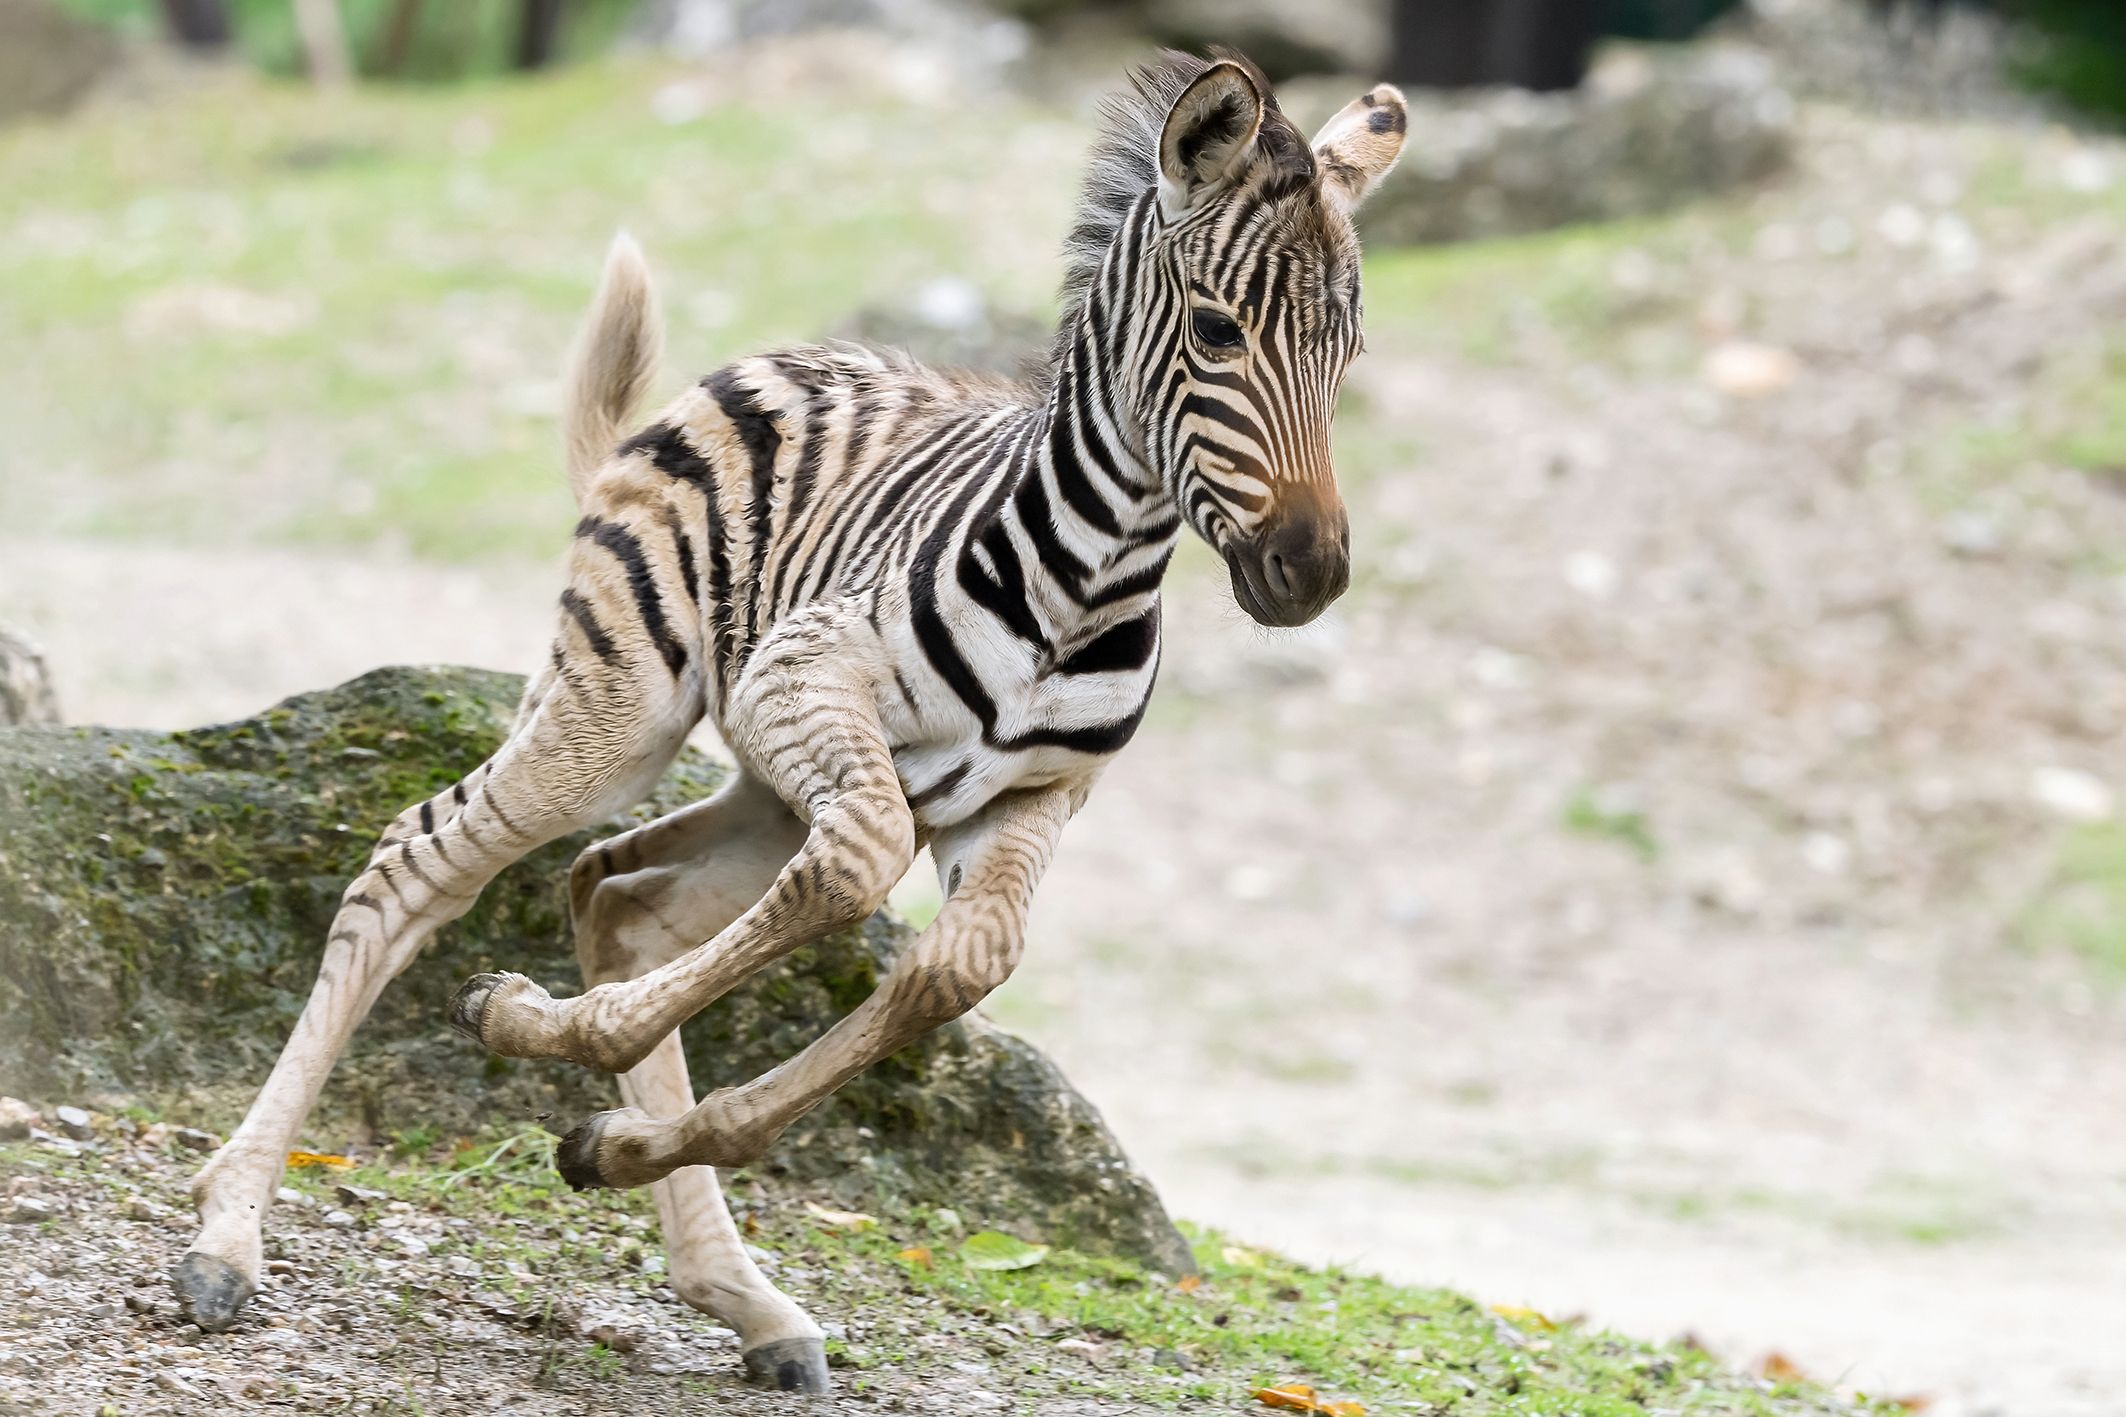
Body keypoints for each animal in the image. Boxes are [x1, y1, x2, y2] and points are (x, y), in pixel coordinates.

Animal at [172, 49, 1408, 1394]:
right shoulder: (803, 679)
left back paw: (738, 1289)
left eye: (1346, 351)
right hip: (623, 718)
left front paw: (609, 1130)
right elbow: (859, 874)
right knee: (420, 860)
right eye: (1216, 332)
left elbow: (956, 966)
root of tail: (735, 375)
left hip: (763, 789)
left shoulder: (1033, 797)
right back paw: (228, 1232)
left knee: (625, 899)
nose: (1310, 574)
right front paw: (536, 1028)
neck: (1089, 580)